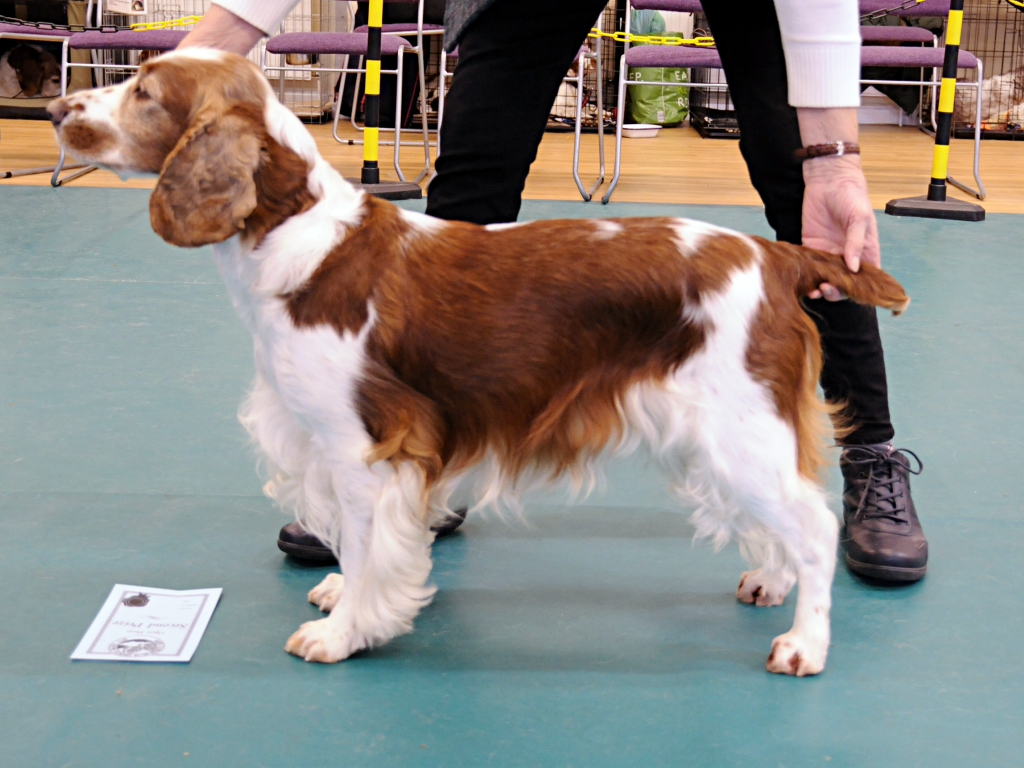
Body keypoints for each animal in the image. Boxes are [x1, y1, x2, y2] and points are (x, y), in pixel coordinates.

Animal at [48, 50, 909, 676]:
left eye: (145, 92)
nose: (58, 110)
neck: (298, 233)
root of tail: (776, 253)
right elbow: (359, 543)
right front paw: (341, 594)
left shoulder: (368, 444)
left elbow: (369, 543)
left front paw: (346, 630)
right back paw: (770, 581)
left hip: (740, 426)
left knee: (815, 523)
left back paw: (806, 644)